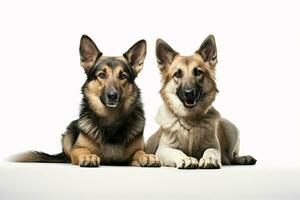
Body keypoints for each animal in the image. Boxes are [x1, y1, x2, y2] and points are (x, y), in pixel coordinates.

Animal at [11, 35, 162, 167]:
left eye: (123, 76)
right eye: (102, 75)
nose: (112, 96)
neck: (111, 120)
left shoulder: (133, 153)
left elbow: (139, 152)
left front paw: (147, 156)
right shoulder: (77, 149)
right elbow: (82, 150)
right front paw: (88, 156)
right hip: (69, 131)